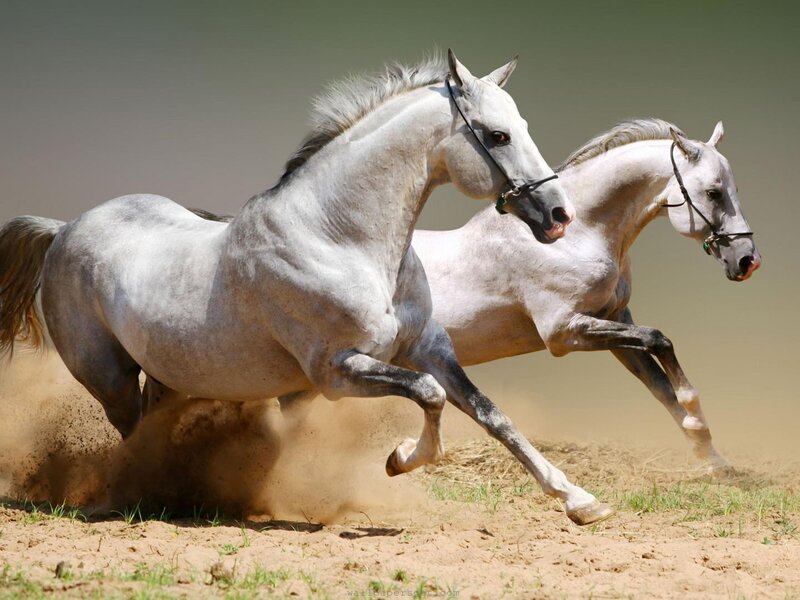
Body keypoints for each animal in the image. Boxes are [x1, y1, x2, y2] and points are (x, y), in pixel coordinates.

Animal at [0, 51, 616, 525]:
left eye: (523, 127)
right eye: (497, 135)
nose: (558, 215)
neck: (339, 238)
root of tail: (64, 229)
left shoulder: (429, 348)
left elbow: (491, 415)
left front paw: (580, 501)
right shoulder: (337, 372)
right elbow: (429, 396)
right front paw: (399, 459)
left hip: (169, 376)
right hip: (109, 378)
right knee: (131, 435)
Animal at [412, 119, 760, 470]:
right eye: (713, 193)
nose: (748, 261)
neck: (576, 236)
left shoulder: (614, 320)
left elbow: (660, 385)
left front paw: (714, 459)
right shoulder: (563, 332)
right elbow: (659, 340)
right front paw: (695, 416)